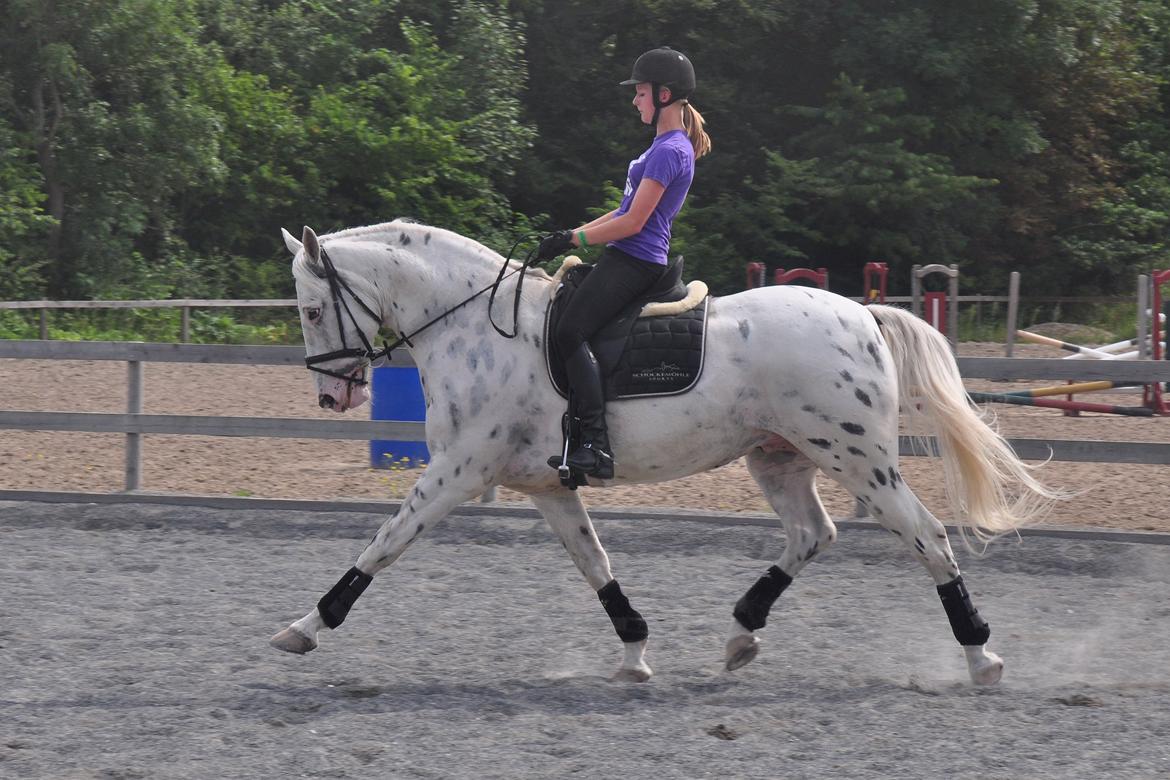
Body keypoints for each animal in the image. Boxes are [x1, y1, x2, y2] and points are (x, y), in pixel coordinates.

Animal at [269, 218, 1057, 682]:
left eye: (311, 308)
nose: (331, 398)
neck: (474, 328)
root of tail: (863, 315)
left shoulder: (458, 472)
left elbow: (383, 546)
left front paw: (305, 627)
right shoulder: (548, 487)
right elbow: (595, 565)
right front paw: (635, 650)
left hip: (858, 459)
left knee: (927, 537)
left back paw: (981, 653)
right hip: (778, 456)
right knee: (812, 533)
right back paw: (740, 636)